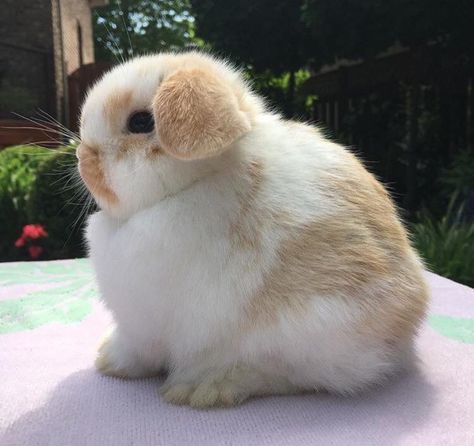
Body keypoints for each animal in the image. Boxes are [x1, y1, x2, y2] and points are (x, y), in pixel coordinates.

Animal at [78, 51, 430, 408]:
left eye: (140, 122)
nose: (82, 156)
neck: (199, 181)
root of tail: (403, 333)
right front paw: (105, 356)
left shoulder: (143, 322)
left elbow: (138, 350)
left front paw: (111, 363)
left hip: (306, 330)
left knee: (281, 373)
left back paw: (204, 386)